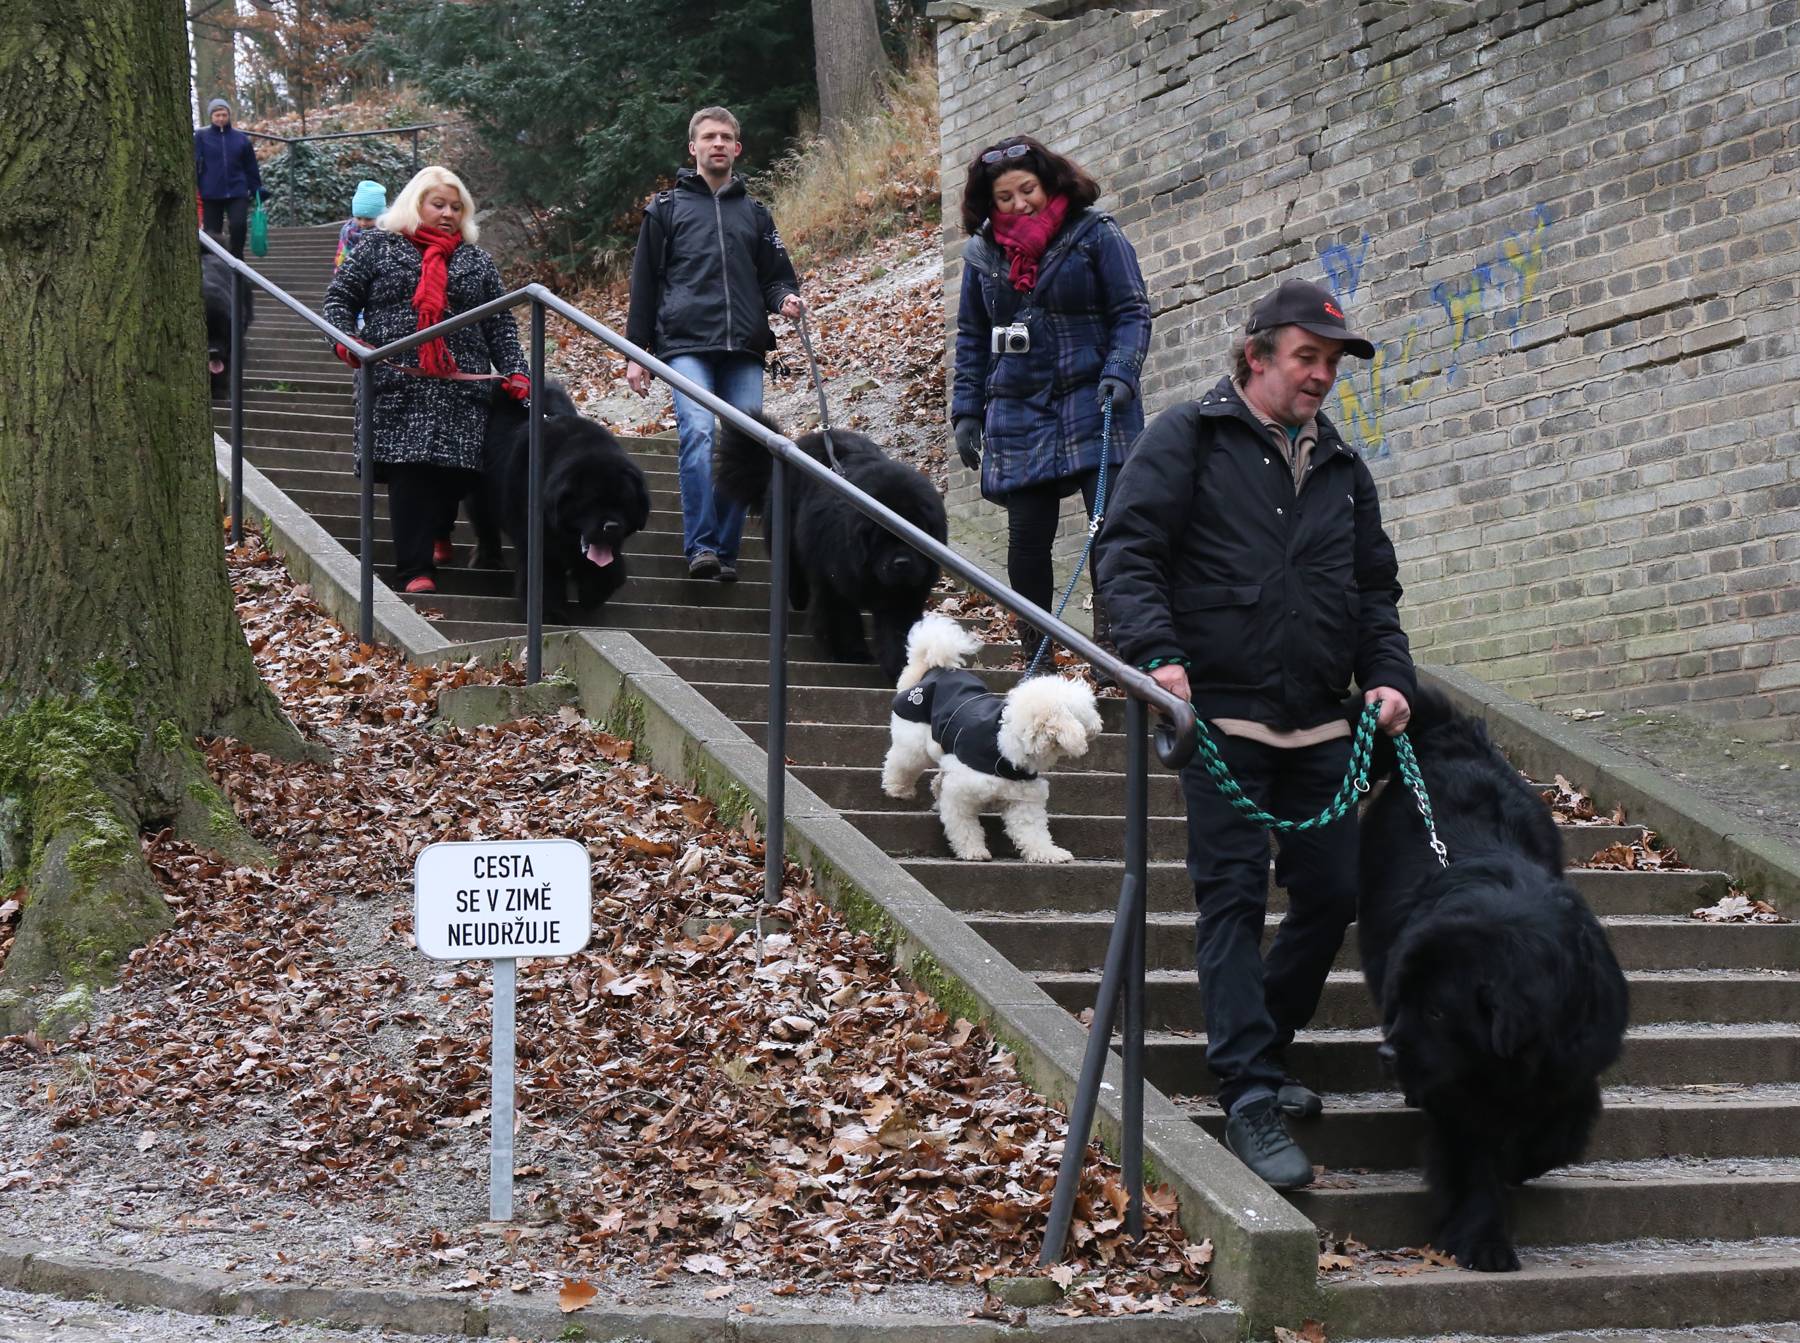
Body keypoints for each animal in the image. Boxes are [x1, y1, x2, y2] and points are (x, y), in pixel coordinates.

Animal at [477, 381, 651, 621]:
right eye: (591, 503)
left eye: (624, 504)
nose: (612, 526)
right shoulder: (538, 539)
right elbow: (545, 577)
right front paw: (551, 613)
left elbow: (609, 568)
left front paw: (593, 594)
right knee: (484, 524)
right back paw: (490, 561)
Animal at [714, 414, 948, 681]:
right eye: (881, 539)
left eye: (914, 534)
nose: (902, 563)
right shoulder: (833, 579)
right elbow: (841, 618)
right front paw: (853, 653)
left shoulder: (902, 596)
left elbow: (898, 630)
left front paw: (902, 667)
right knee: (793, 570)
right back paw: (799, 597)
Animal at [880, 614, 1103, 863]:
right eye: (1087, 712)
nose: (1099, 725)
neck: (1004, 747)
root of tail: (933, 670)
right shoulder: (960, 793)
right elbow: (964, 826)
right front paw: (972, 850)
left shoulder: (1023, 799)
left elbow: (1033, 833)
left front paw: (1049, 853)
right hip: (915, 739)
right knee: (901, 762)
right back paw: (898, 788)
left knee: (936, 778)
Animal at [1357, 687, 1629, 1273]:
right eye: (1403, 1001)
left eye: (1437, 1010)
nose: (1387, 1055)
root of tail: (1451, 740)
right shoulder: (1459, 1094)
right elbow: (1474, 1158)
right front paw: (1483, 1238)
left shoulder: (1574, 1060)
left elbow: (1562, 1129)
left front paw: (1523, 1163)